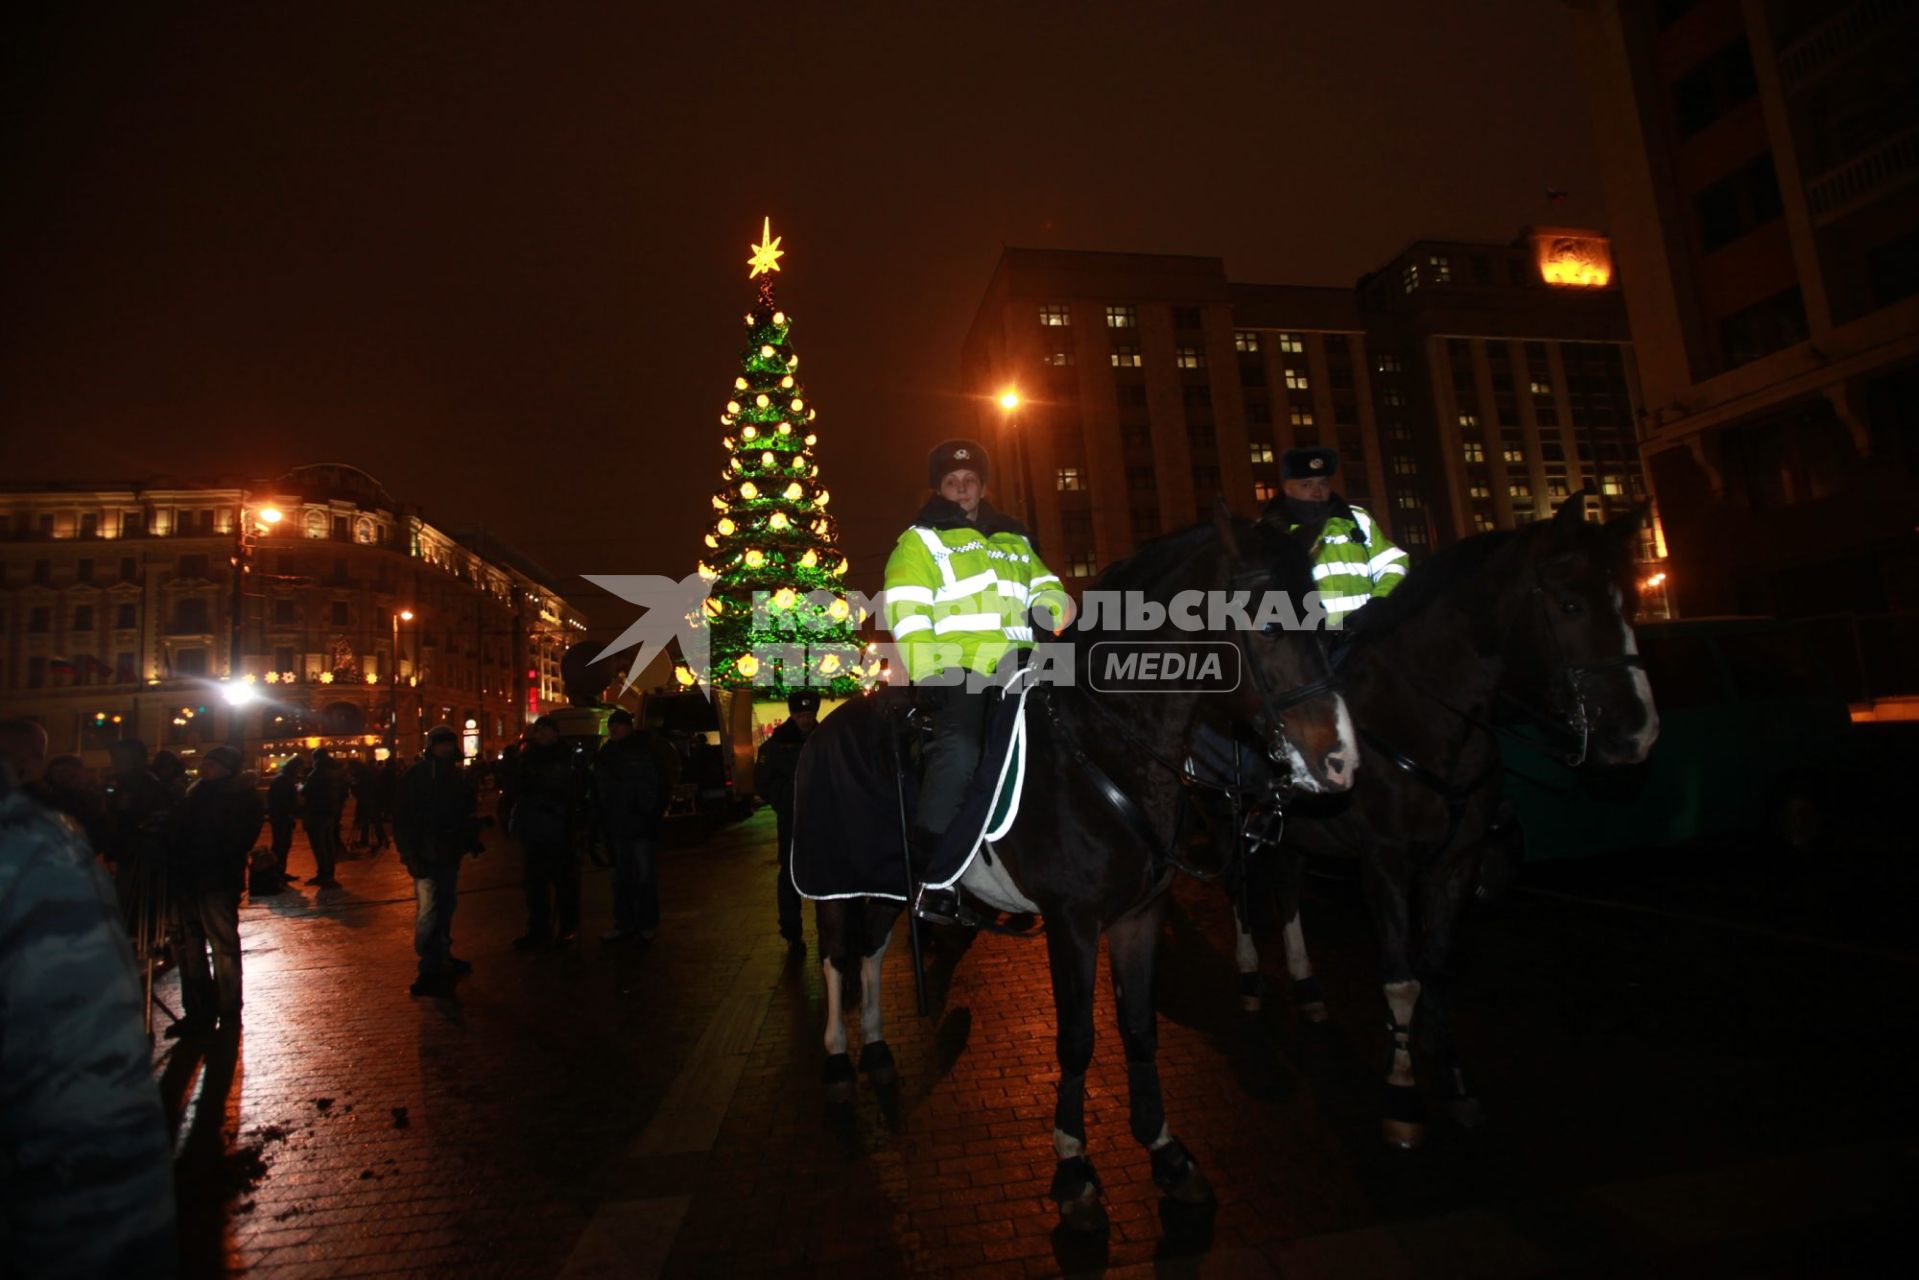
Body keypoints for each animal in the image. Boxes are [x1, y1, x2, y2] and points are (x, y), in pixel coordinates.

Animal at [802, 506, 1358, 1235]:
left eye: (1326, 620)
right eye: (1267, 625)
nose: (1340, 762)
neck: (1105, 749)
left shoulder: (1139, 915)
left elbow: (1138, 1028)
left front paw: (1166, 1153)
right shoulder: (1073, 923)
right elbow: (1076, 1040)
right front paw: (1073, 1169)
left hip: (885, 884)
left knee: (869, 951)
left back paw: (875, 1048)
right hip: (833, 880)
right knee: (838, 958)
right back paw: (839, 1060)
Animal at [1235, 495, 1658, 1143]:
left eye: (1631, 603)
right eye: (1570, 604)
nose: (1638, 731)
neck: (1431, 717)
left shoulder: (1458, 860)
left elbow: (1435, 969)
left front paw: (1452, 1077)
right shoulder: (1384, 861)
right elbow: (1400, 975)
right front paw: (1403, 1092)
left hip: (1296, 832)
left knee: (1284, 888)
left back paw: (1306, 986)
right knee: (1239, 890)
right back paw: (1251, 974)